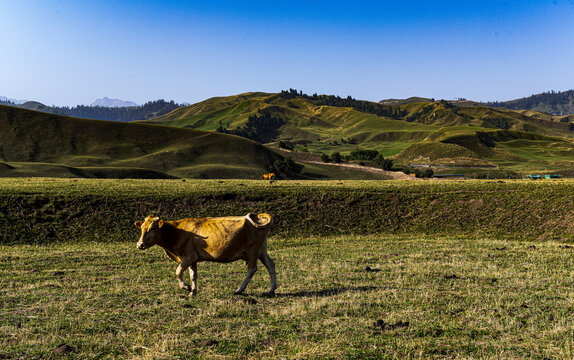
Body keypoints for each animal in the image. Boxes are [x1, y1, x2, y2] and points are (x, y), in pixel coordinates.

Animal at [136, 214, 280, 296]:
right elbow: (193, 275)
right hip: (262, 250)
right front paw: (193, 292)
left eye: (152, 228)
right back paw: (271, 290)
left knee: (252, 269)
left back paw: (240, 289)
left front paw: (186, 287)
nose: (140, 244)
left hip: (252, 252)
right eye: (142, 228)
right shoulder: (193, 259)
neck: (176, 232)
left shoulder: (187, 258)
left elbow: (178, 272)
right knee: (270, 265)